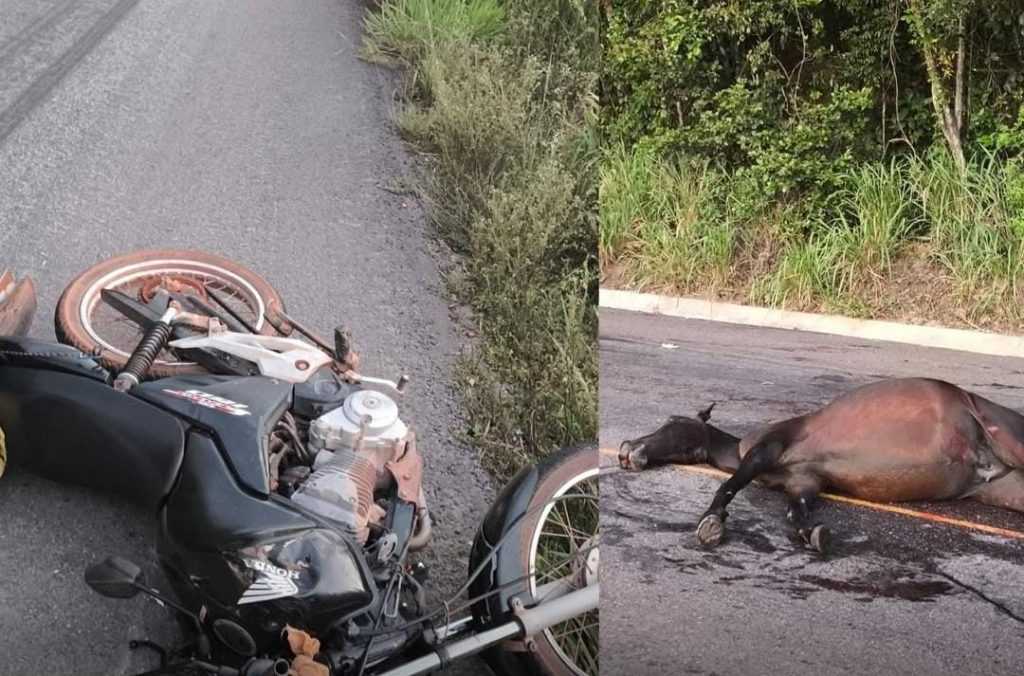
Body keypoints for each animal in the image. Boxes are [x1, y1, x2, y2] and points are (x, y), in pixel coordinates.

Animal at [614, 376, 1024, 553]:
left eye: (670, 423)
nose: (624, 451)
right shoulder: (803, 482)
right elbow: (796, 514)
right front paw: (812, 534)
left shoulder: (767, 447)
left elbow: (730, 484)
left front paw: (711, 520)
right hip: (1007, 488)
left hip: (1009, 439)